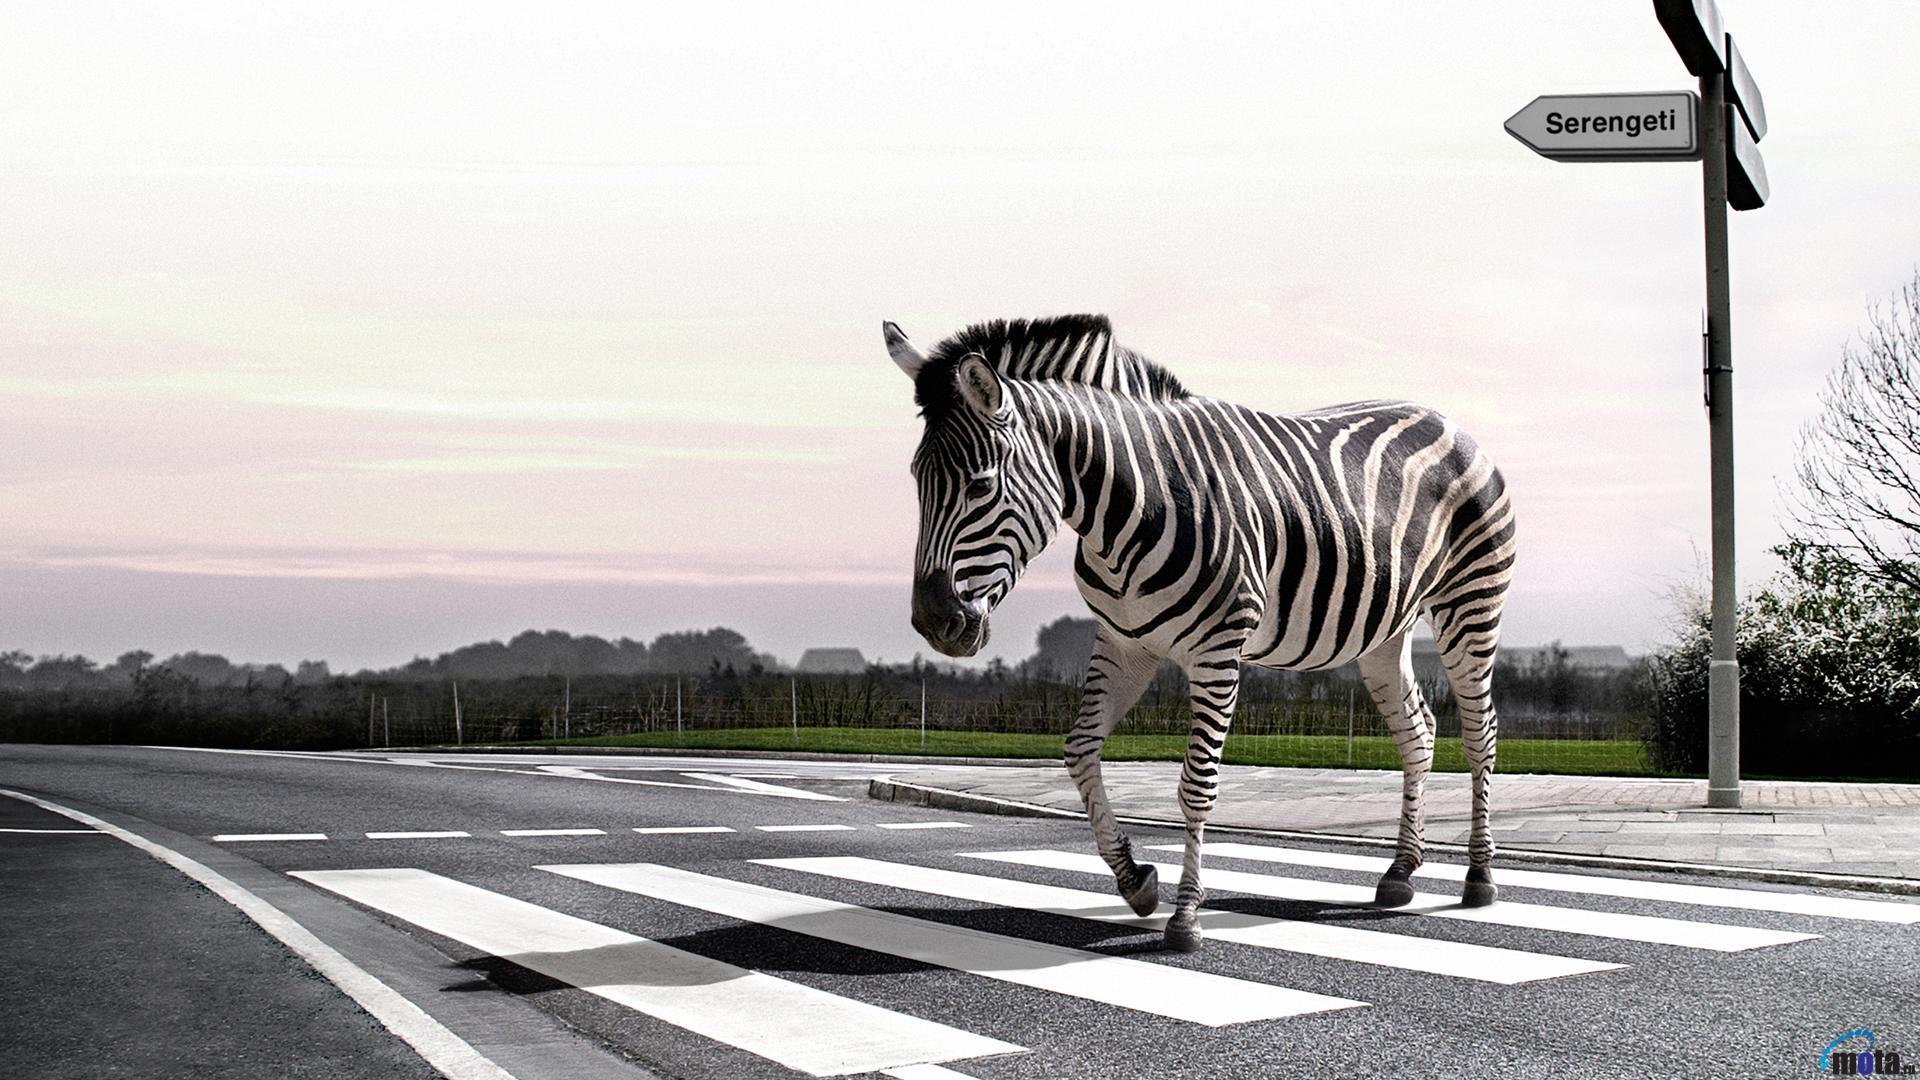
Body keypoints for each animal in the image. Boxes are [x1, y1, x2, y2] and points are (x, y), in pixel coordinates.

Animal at [885, 313, 1516, 952]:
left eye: (980, 485)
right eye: (916, 479)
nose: (933, 622)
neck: (1130, 508)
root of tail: (1446, 420)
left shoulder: (1218, 650)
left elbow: (1196, 784)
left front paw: (1186, 914)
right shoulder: (1124, 644)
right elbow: (1080, 752)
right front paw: (1136, 880)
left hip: (1470, 604)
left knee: (1480, 733)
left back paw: (1479, 876)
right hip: (1385, 632)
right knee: (1419, 732)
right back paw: (1400, 871)